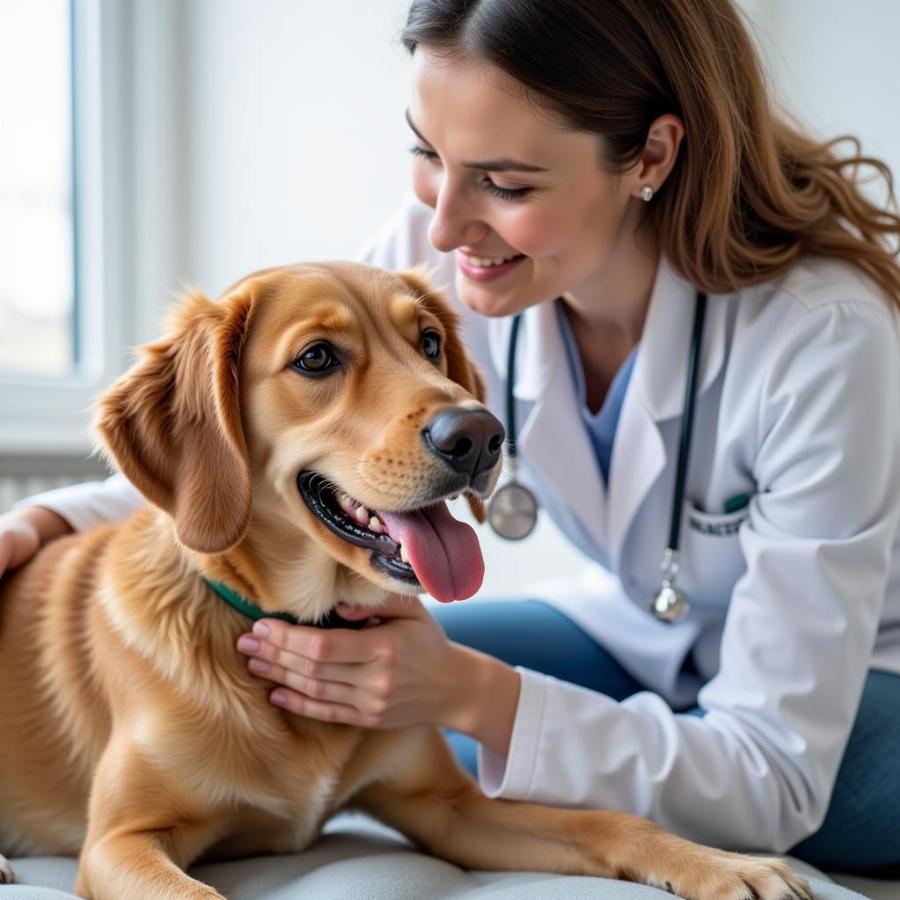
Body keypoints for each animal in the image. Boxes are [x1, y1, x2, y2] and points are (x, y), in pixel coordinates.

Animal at [0, 262, 812, 900]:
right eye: (317, 358)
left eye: (428, 343)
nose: (481, 436)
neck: (291, 620)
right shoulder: (120, 841)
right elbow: (197, 895)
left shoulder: (445, 805)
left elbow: (608, 818)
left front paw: (726, 863)